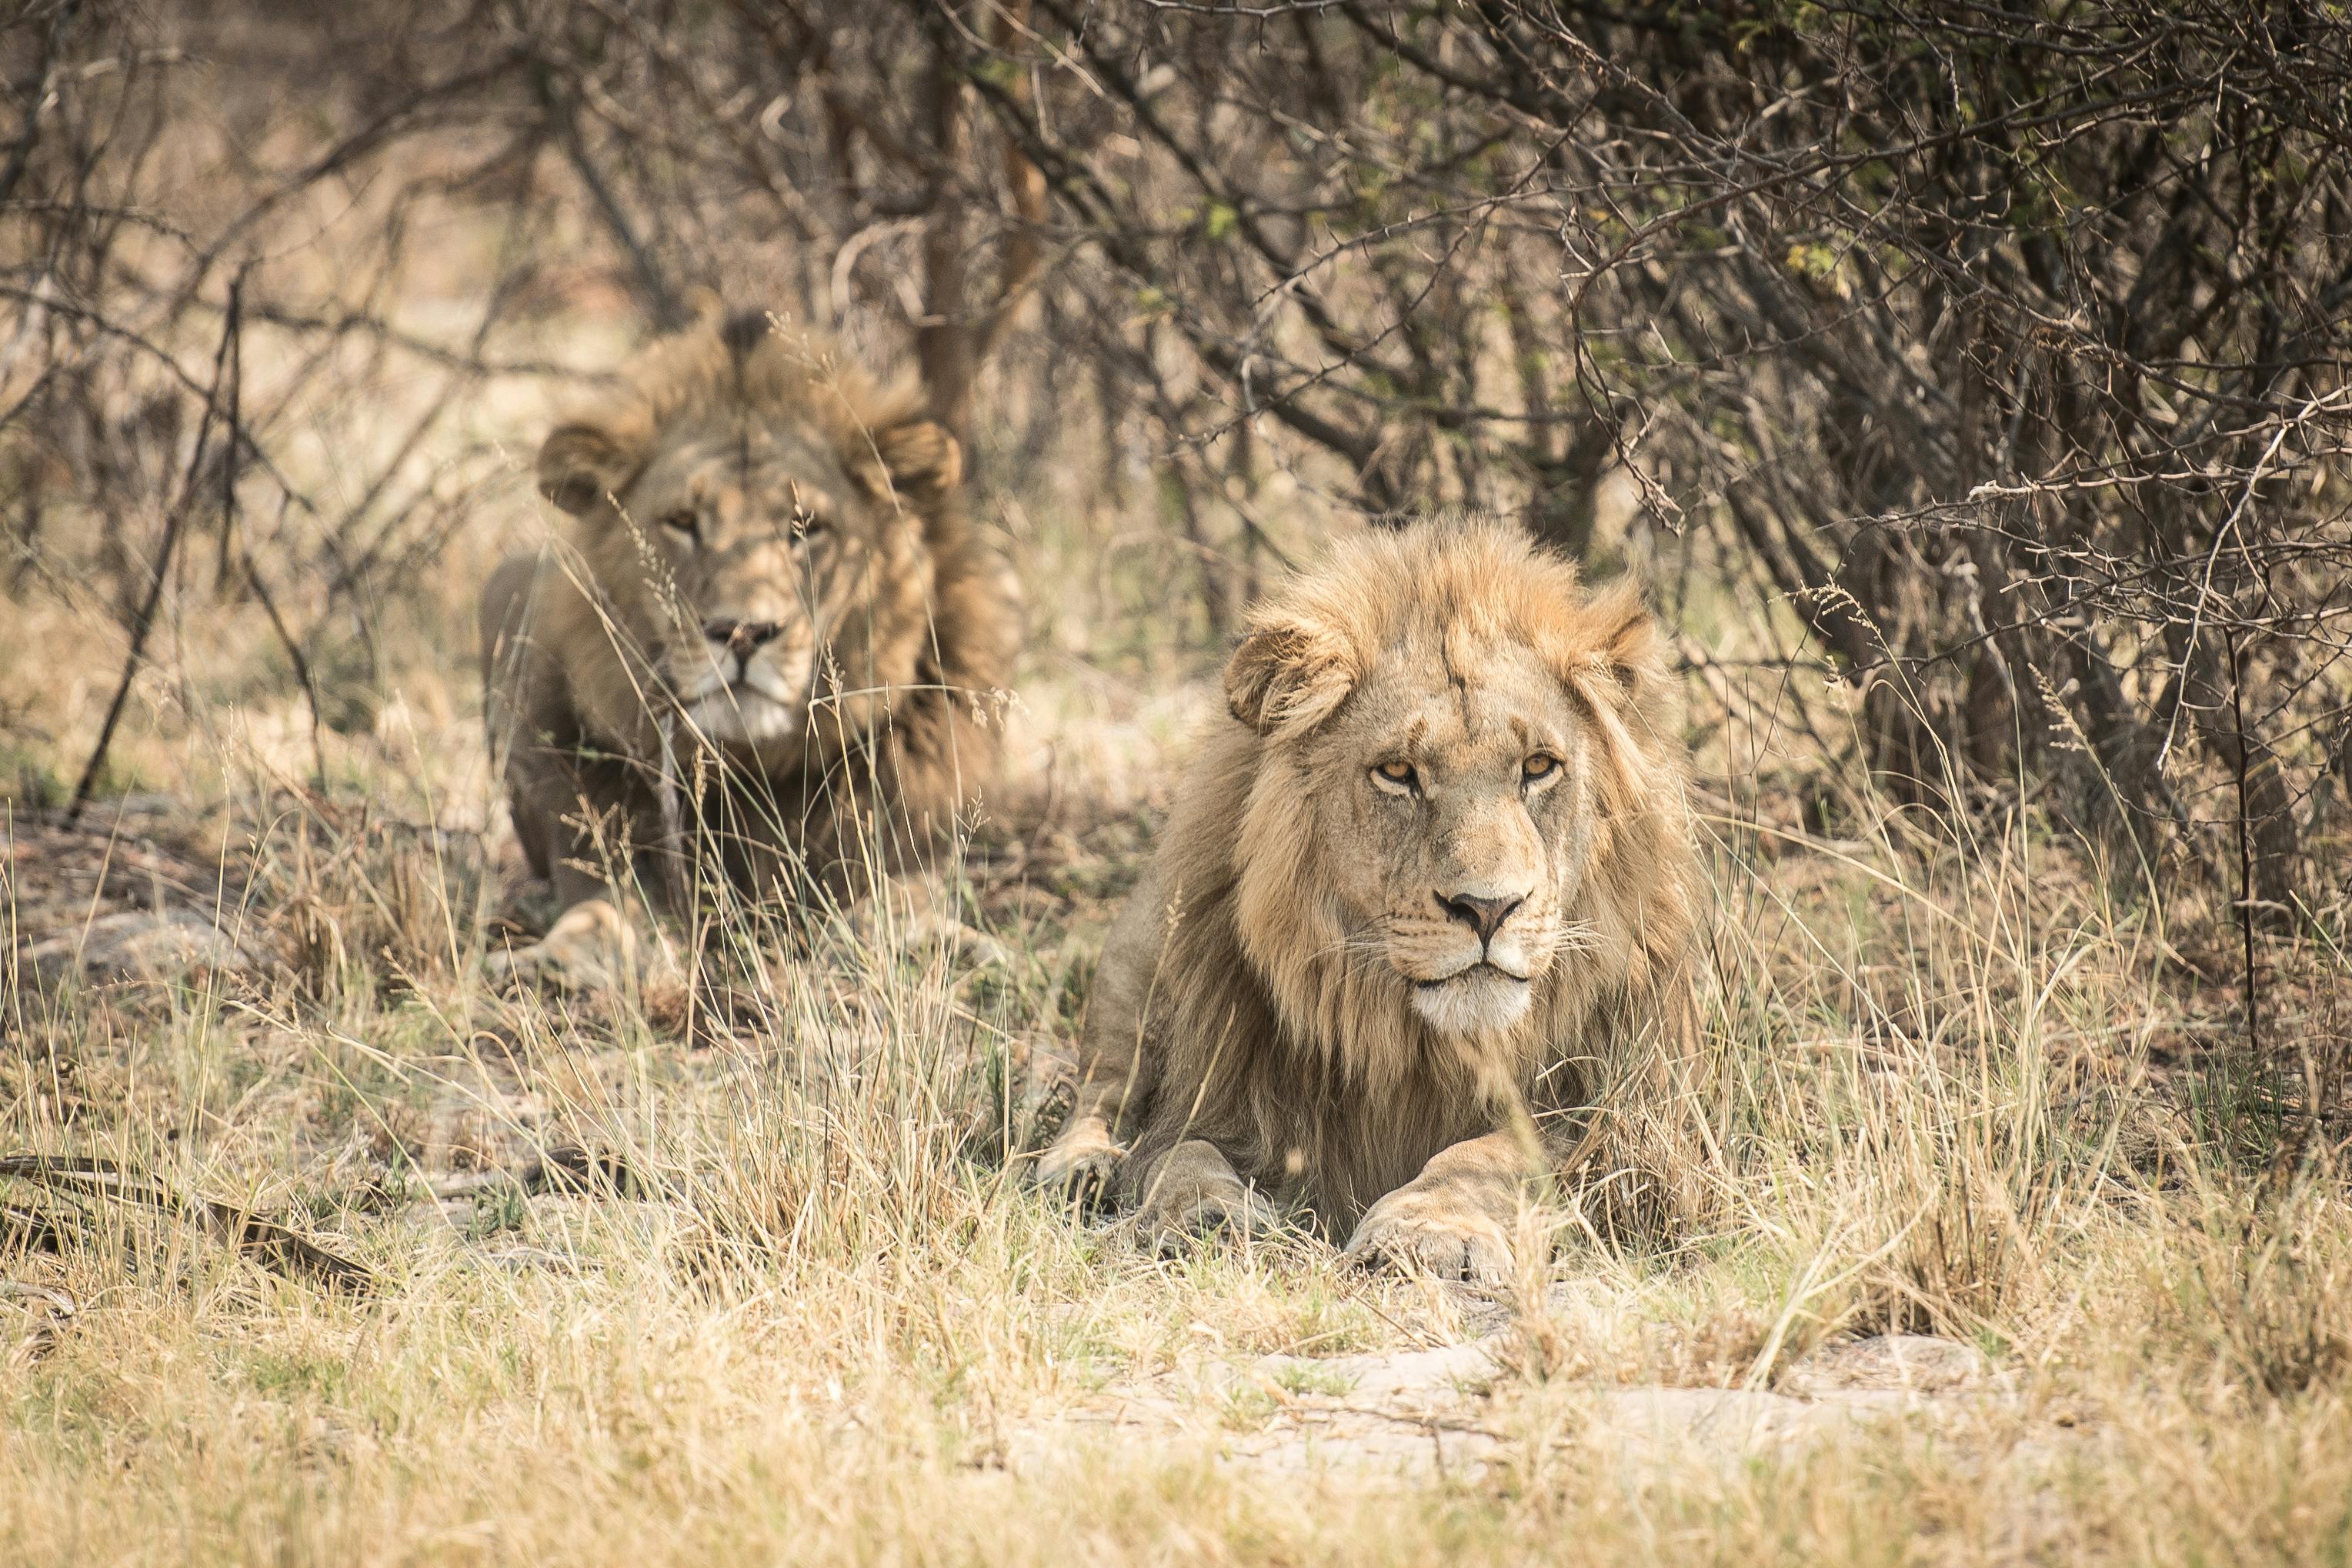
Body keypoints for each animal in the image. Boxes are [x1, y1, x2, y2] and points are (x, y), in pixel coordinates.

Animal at [480, 302, 1018, 988]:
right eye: (682, 522)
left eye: (805, 526)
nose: (742, 632)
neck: (752, 769)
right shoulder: (606, 851)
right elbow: (602, 910)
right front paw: (554, 959)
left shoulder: (897, 851)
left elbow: (891, 906)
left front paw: (940, 945)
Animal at [1034, 516, 1710, 1280]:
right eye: (1396, 772)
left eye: (1538, 766)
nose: (1487, 909)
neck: (1417, 1045)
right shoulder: (1216, 1103)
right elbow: (1178, 1153)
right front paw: (1202, 1215)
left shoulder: (1620, 1121)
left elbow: (1491, 1154)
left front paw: (1425, 1230)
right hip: (1139, 952)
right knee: (1100, 1093)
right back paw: (1082, 1170)